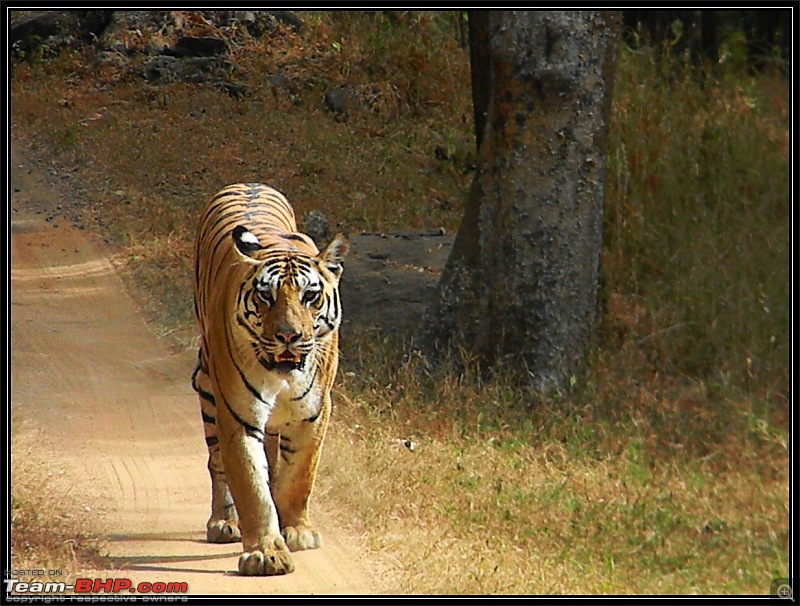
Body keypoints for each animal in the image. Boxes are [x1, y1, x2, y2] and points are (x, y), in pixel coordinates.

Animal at [192, 183, 348, 576]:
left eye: (311, 295)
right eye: (266, 295)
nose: (288, 336)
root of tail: (248, 184)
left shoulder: (314, 413)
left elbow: (298, 477)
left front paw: (297, 531)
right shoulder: (238, 414)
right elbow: (251, 486)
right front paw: (266, 552)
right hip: (207, 387)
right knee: (217, 463)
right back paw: (224, 522)